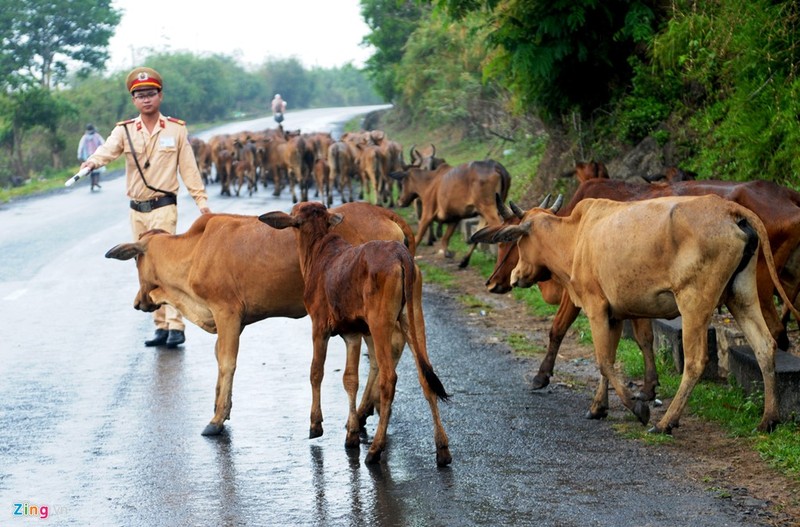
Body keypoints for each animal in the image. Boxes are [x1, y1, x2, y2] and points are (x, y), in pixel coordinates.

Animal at [103, 204, 416, 440]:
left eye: (136, 261)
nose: (138, 302)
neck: (195, 251)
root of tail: (382, 212)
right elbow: (219, 359)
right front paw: (222, 407)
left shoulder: (227, 313)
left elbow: (227, 362)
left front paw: (216, 419)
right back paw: (363, 413)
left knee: (391, 348)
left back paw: (364, 413)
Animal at [260, 202, 454, 466]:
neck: (318, 252)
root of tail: (401, 255)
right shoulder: (352, 332)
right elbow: (350, 379)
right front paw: (351, 433)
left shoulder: (319, 325)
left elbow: (316, 372)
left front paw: (316, 424)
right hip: (413, 316)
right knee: (426, 375)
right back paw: (442, 448)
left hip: (380, 321)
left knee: (389, 377)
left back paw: (375, 449)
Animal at [472, 196, 800, 436]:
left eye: (518, 241)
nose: (514, 276)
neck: (576, 237)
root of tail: (730, 209)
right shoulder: (614, 314)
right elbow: (607, 360)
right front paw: (598, 407)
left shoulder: (595, 307)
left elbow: (603, 360)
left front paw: (636, 407)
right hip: (741, 296)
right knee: (764, 346)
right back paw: (768, 420)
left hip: (694, 302)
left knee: (695, 361)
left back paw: (666, 422)